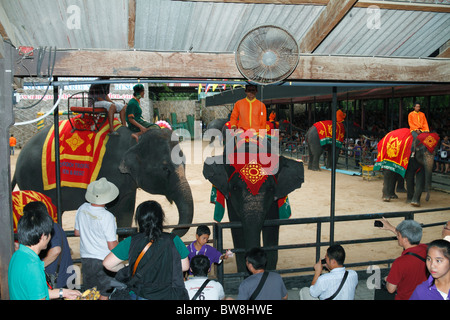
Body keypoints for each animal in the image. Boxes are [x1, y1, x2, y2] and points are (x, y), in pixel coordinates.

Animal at [11, 125, 193, 238]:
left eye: (185, 164)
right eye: (165, 168)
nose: (169, 230)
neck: (134, 140)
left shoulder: (128, 185)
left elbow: (126, 213)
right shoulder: (110, 176)